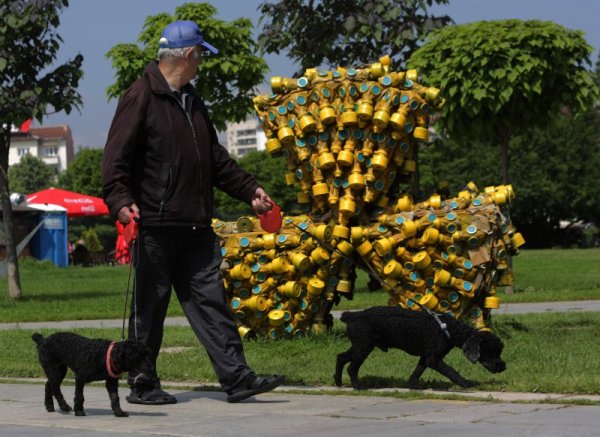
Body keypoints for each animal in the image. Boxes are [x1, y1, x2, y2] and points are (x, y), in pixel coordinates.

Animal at [332, 306, 506, 388]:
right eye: (492, 352)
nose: (503, 367)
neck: (449, 329)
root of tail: (352, 315)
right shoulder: (434, 359)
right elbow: (451, 371)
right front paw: (465, 383)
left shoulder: (426, 356)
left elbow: (418, 370)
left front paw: (413, 385)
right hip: (363, 347)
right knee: (352, 368)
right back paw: (358, 386)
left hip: (360, 345)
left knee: (341, 357)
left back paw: (338, 381)